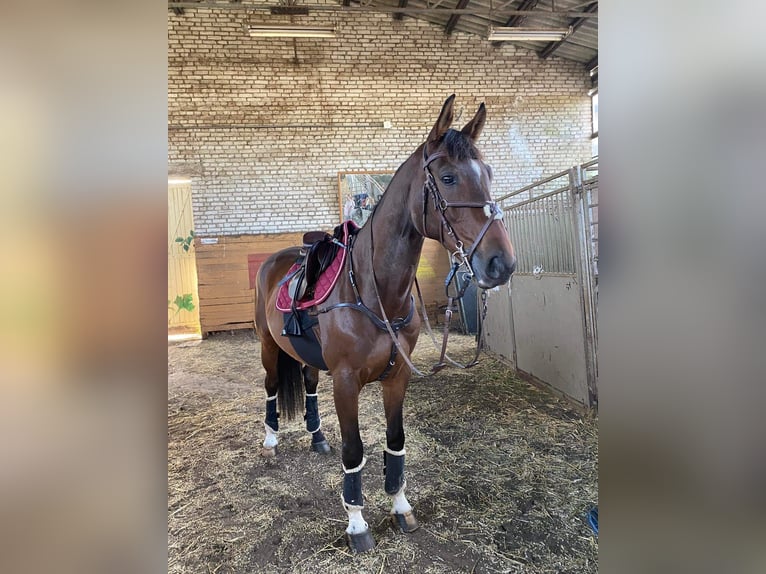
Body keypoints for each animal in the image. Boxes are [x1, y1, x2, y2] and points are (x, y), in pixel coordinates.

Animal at [254, 95, 516, 553]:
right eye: (447, 177)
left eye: (488, 174)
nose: (501, 264)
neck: (373, 291)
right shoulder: (345, 381)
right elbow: (354, 449)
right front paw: (357, 524)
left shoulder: (397, 377)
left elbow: (395, 442)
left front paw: (400, 507)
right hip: (269, 346)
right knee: (271, 388)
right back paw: (270, 442)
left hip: (304, 356)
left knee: (307, 385)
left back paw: (317, 437)